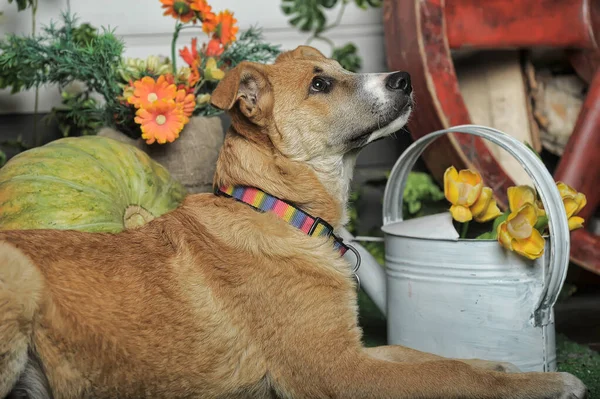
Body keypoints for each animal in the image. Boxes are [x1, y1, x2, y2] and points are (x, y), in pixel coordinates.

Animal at [0, 45, 588, 398]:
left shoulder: (350, 349)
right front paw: (547, 385)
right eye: (320, 86)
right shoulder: (337, 371)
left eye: (341, 71)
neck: (278, 210)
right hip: (20, 277)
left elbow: (429, 357)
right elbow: (443, 375)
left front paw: (503, 367)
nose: (403, 77)